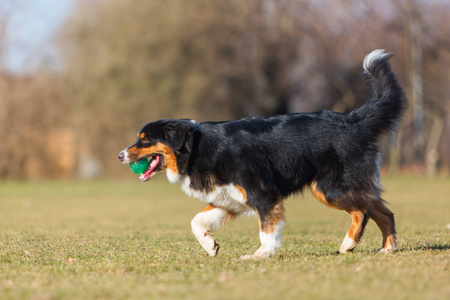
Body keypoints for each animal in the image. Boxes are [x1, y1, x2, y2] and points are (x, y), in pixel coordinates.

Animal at [118, 49, 406, 260]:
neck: (196, 147)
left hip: (329, 188)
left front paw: (260, 255)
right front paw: (210, 245)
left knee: (363, 211)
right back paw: (387, 249)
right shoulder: (227, 199)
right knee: (384, 212)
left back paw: (348, 244)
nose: (120, 155)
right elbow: (196, 221)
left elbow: (266, 230)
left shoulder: (264, 195)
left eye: (144, 140)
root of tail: (353, 120)